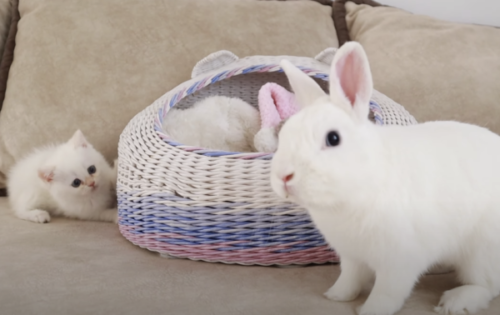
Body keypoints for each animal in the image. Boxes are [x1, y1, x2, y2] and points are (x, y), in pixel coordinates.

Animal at [272, 42, 500, 315]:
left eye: (333, 138)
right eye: (284, 133)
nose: (283, 176)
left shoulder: (399, 261)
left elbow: (387, 291)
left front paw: (370, 310)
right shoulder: (351, 256)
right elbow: (350, 278)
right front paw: (336, 296)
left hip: (482, 253)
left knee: (487, 285)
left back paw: (456, 302)